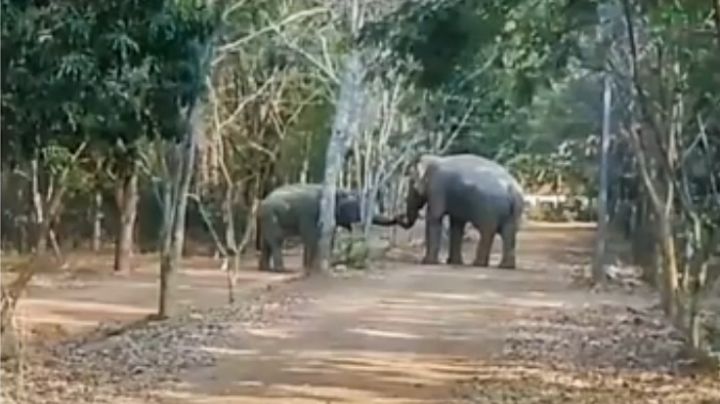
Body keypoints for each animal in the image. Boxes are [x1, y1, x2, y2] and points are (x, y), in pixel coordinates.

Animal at [256, 183, 397, 272]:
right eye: (356, 208)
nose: (400, 216)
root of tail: (261, 203)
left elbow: (329, 236)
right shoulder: (309, 212)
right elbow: (311, 235)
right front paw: (310, 268)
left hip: (267, 219)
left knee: (267, 242)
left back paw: (265, 268)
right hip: (271, 216)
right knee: (277, 240)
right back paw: (281, 270)